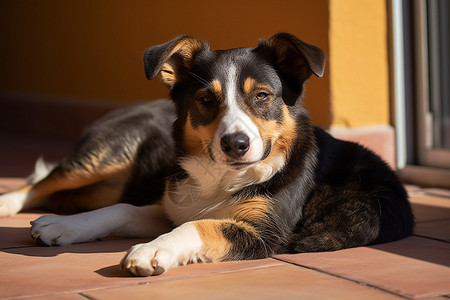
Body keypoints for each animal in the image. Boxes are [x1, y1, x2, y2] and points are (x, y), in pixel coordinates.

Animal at [0, 33, 414, 276]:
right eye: (205, 99)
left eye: (262, 96)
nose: (236, 144)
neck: (222, 178)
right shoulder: (172, 202)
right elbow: (121, 210)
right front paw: (63, 226)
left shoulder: (261, 232)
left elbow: (196, 225)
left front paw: (153, 250)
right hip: (106, 153)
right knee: (45, 182)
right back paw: (10, 204)